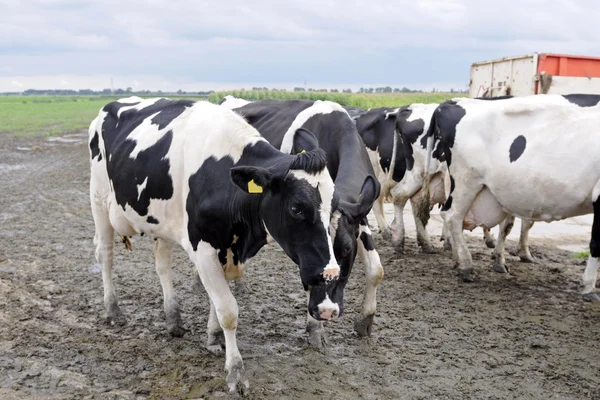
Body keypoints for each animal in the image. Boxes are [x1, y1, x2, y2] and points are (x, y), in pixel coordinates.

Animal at [86, 96, 344, 390]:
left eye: (335, 206)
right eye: (296, 208)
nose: (330, 273)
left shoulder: (227, 248)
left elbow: (217, 298)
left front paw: (214, 337)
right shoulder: (203, 248)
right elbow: (228, 309)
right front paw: (235, 371)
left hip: (161, 222)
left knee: (162, 265)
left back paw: (173, 318)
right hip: (99, 201)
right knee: (105, 255)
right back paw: (113, 310)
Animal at [220, 96, 384, 344]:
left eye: (347, 248)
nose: (327, 311)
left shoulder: (359, 214)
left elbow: (376, 269)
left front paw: (365, 320)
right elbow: (308, 278)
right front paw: (315, 329)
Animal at [422, 92, 600, 302]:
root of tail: (456, 101)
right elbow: (596, 244)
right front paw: (589, 287)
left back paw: (460, 260)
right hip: (466, 182)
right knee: (452, 216)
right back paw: (466, 266)